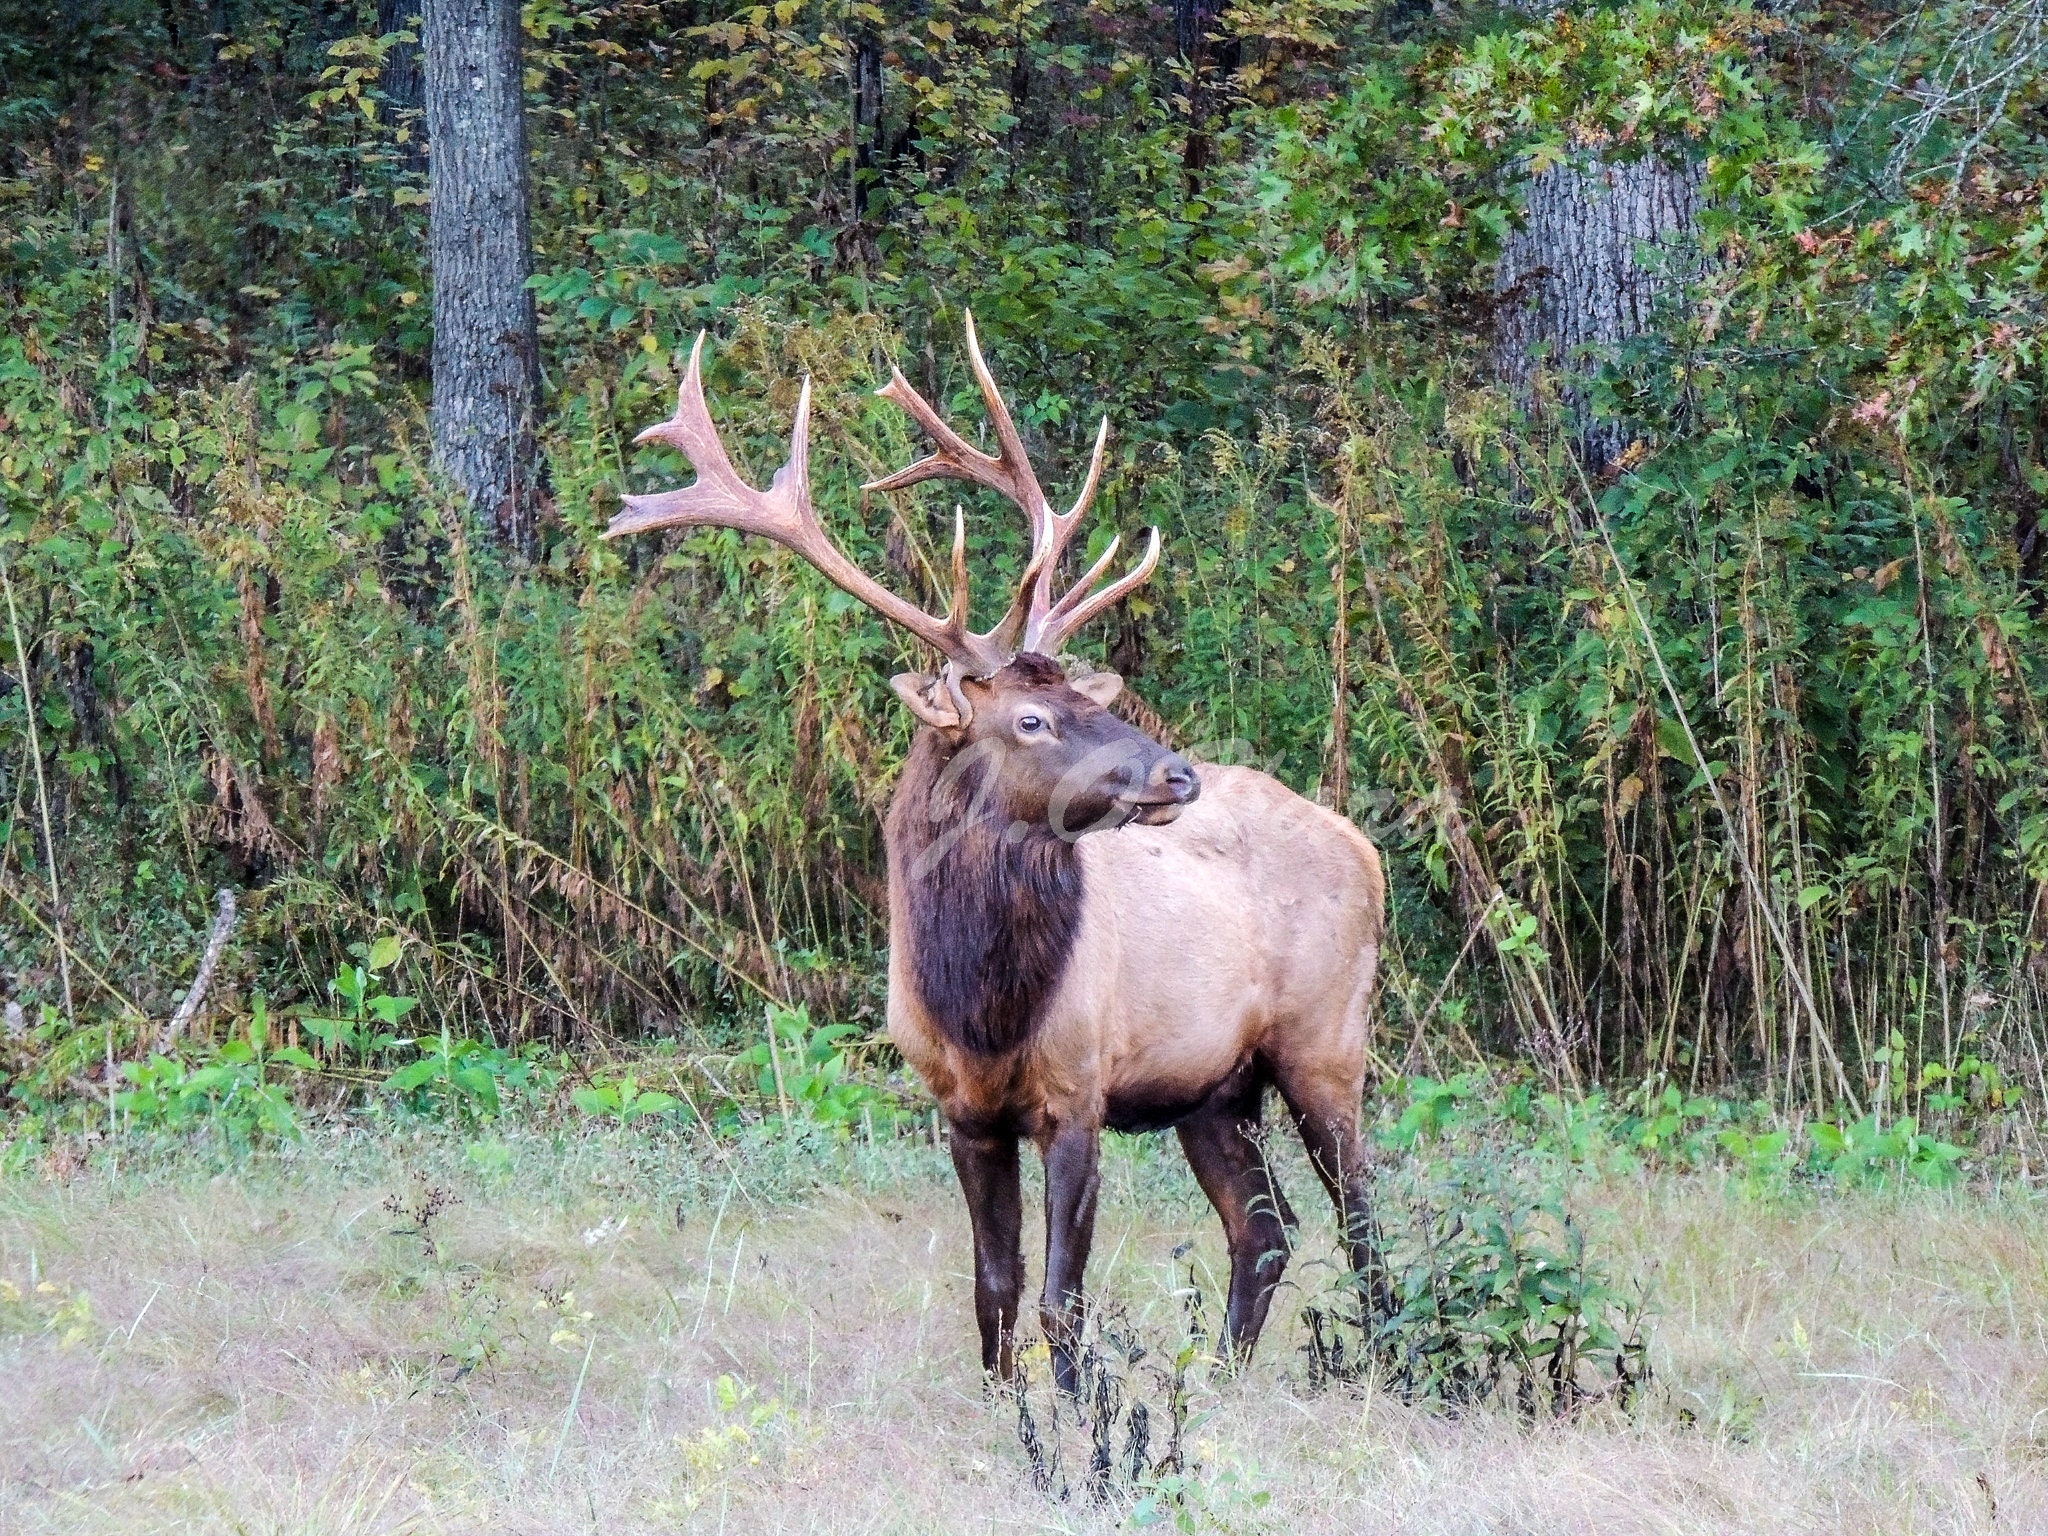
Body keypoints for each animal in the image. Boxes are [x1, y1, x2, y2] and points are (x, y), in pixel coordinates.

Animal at [605, 316, 1390, 1393]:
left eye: (1082, 697)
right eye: (1031, 718)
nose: (1176, 774)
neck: (981, 1005)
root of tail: (1360, 842)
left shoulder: (1078, 1089)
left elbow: (1063, 1298)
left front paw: (1077, 1415)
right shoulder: (961, 1107)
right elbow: (995, 1291)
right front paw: (1008, 1405)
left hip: (1326, 1039)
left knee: (1362, 1223)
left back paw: (1402, 1364)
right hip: (1213, 1087)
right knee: (1263, 1230)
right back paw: (1224, 1384)